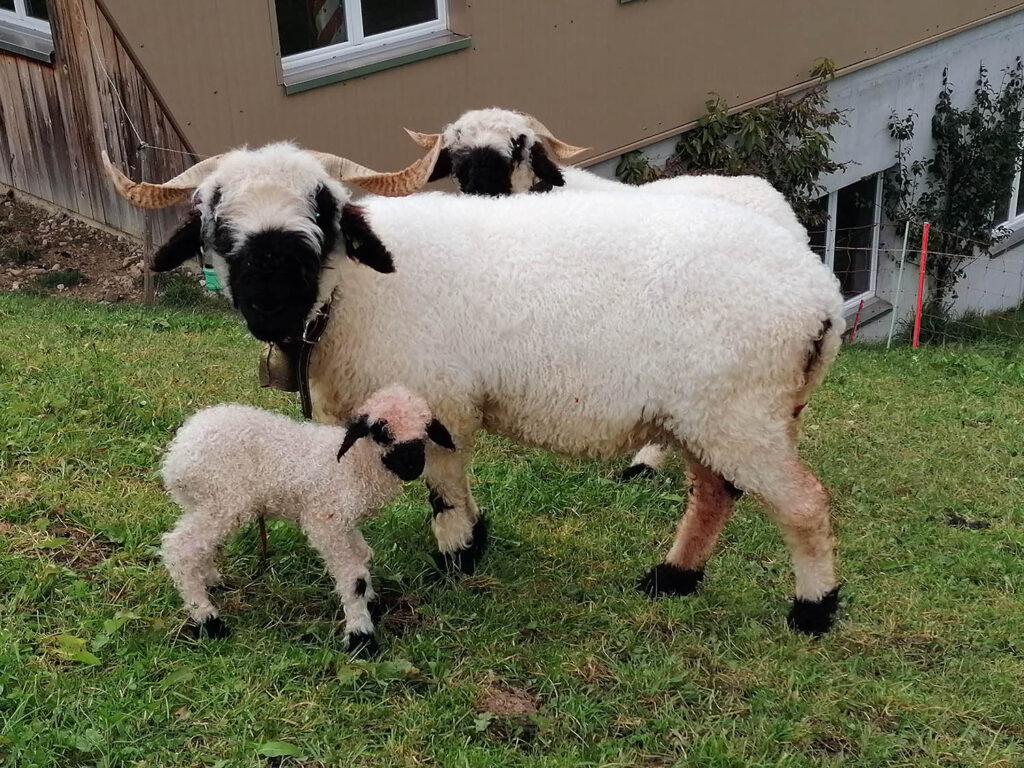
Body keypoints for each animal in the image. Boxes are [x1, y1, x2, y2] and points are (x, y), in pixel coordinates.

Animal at [160, 387, 456, 651]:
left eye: (426, 430)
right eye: (380, 431)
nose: (413, 467)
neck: (356, 465)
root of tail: (177, 454)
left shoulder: (346, 523)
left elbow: (363, 555)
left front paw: (370, 601)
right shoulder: (325, 521)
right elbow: (354, 577)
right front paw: (361, 636)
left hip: (206, 503)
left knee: (199, 545)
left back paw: (209, 580)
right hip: (224, 500)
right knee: (180, 547)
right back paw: (207, 619)